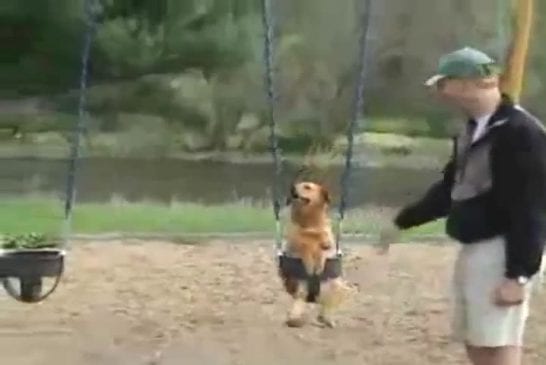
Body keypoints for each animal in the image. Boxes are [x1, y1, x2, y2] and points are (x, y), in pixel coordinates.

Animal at [280, 181, 352, 326]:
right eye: (297, 184)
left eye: (307, 187)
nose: (292, 188)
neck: (309, 225)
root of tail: (314, 298)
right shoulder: (295, 243)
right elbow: (304, 247)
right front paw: (309, 263)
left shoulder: (327, 242)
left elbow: (323, 248)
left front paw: (319, 263)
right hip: (297, 287)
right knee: (300, 302)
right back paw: (295, 319)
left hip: (338, 286)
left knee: (327, 309)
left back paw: (328, 320)